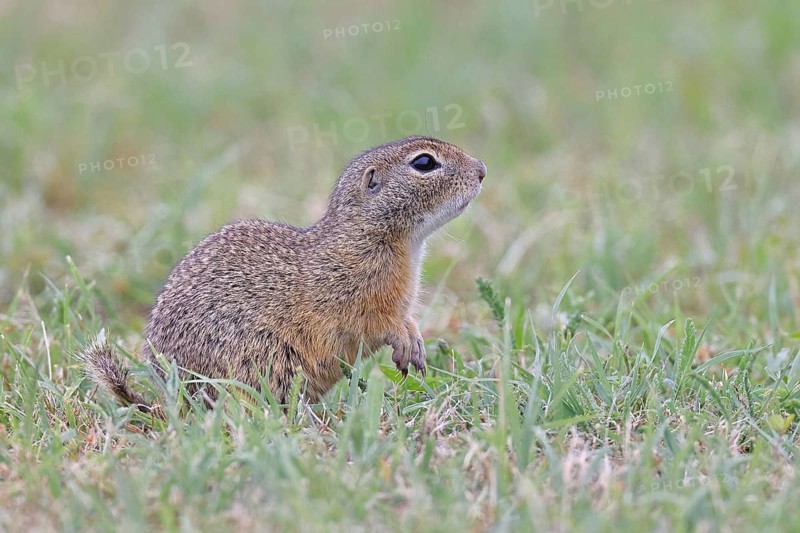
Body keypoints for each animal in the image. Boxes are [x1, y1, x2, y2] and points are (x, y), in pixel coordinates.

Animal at [79, 136, 486, 409]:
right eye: (424, 163)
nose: (482, 170)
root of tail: (169, 401)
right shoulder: (352, 293)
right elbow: (376, 322)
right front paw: (403, 341)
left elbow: (405, 320)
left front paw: (415, 338)